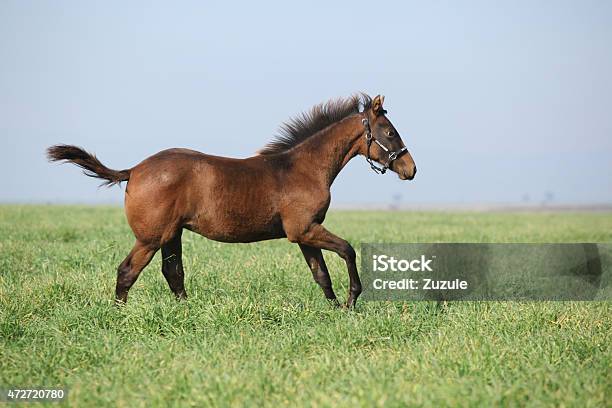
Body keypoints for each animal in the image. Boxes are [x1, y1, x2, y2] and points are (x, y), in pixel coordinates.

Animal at [49, 94, 416, 308]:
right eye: (389, 132)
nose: (410, 169)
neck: (302, 168)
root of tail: (134, 170)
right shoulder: (306, 229)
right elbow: (347, 250)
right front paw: (352, 300)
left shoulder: (304, 233)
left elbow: (321, 274)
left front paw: (335, 308)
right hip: (151, 237)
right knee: (128, 271)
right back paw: (121, 314)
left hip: (172, 234)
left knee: (173, 272)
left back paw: (187, 311)